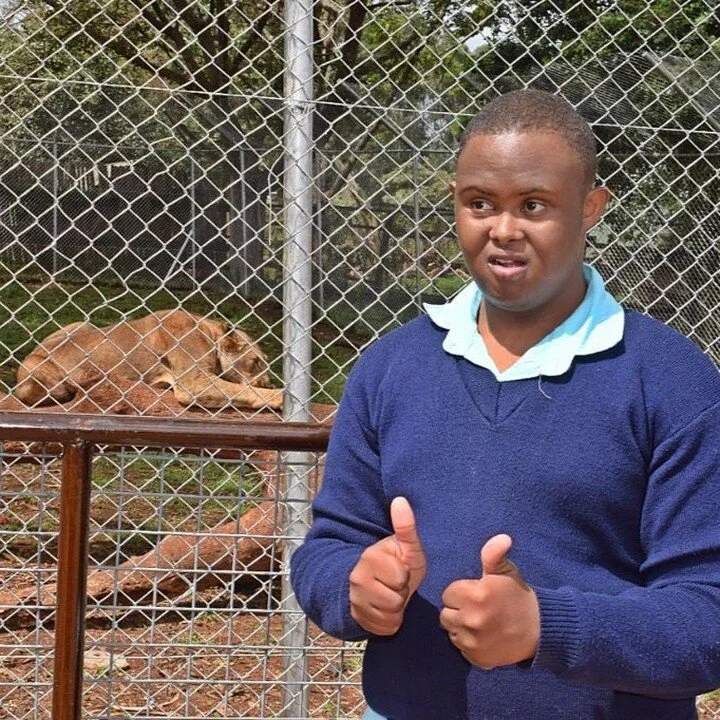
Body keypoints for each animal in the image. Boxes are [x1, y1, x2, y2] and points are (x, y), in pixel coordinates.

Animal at [15, 310, 283, 411]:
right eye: (257, 362)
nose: (267, 382)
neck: (208, 331)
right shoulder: (194, 383)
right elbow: (244, 390)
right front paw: (279, 396)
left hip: (80, 323)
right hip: (42, 377)